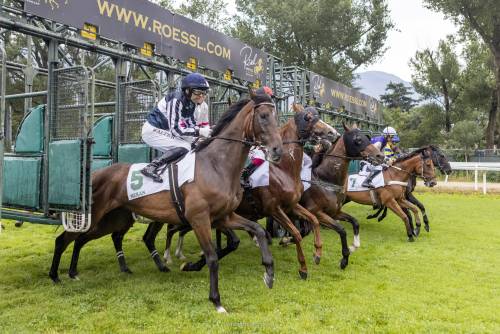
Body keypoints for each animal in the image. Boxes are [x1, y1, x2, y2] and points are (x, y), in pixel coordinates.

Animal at [50, 92, 286, 312]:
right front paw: (216, 301)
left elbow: (257, 230)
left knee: (88, 238)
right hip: (97, 214)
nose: (277, 150)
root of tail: (95, 174)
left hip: (115, 218)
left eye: (277, 116)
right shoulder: (199, 219)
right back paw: (55, 276)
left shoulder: (224, 216)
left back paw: (78, 271)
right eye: (263, 116)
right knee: (64, 239)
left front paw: (269, 272)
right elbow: (212, 257)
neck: (216, 165)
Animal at [298, 125, 384, 268]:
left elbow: (355, 222)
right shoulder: (317, 212)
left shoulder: (335, 213)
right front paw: (344, 258)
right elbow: (341, 230)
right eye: (358, 139)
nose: (380, 156)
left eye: (367, 137)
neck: (326, 181)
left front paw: (354, 246)